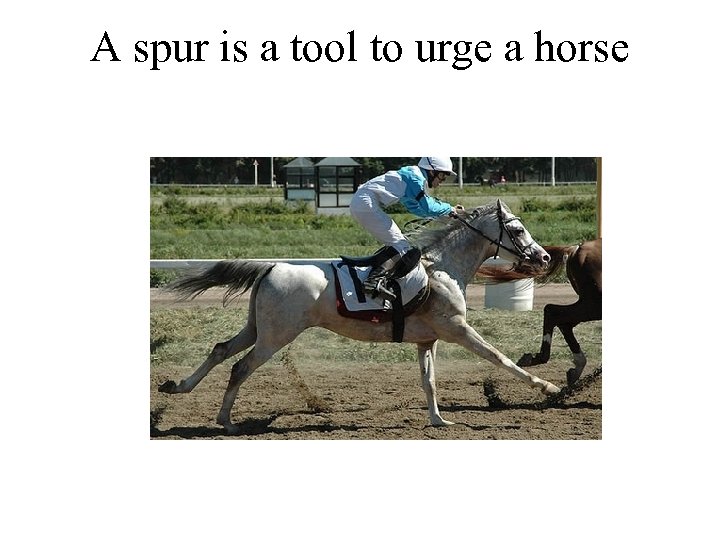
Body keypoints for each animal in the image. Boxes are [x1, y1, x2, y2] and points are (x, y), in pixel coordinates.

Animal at [158, 199, 560, 434]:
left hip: (258, 328)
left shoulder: (426, 339)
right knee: (240, 366)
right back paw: (225, 420)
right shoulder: (457, 329)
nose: (544, 257)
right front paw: (548, 387)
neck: (442, 268)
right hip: (276, 336)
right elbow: (500, 357)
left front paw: (437, 419)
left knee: (221, 349)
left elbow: (429, 381)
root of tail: (271, 266)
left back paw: (179, 386)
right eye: (518, 229)